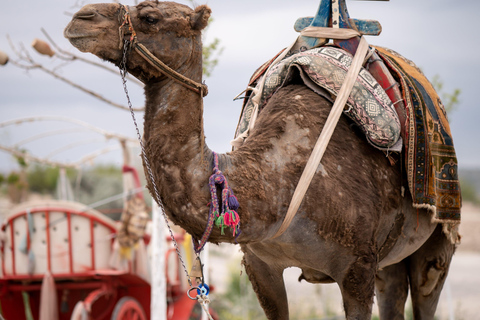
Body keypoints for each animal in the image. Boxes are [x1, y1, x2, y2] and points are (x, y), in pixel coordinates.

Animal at [64, 1, 458, 318]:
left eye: (149, 16)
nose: (79, 18)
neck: (278, 181)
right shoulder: (260, 264)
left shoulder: (357, 268)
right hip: (390, 259)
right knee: (395, 289)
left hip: (435, 239)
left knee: (426, 290)